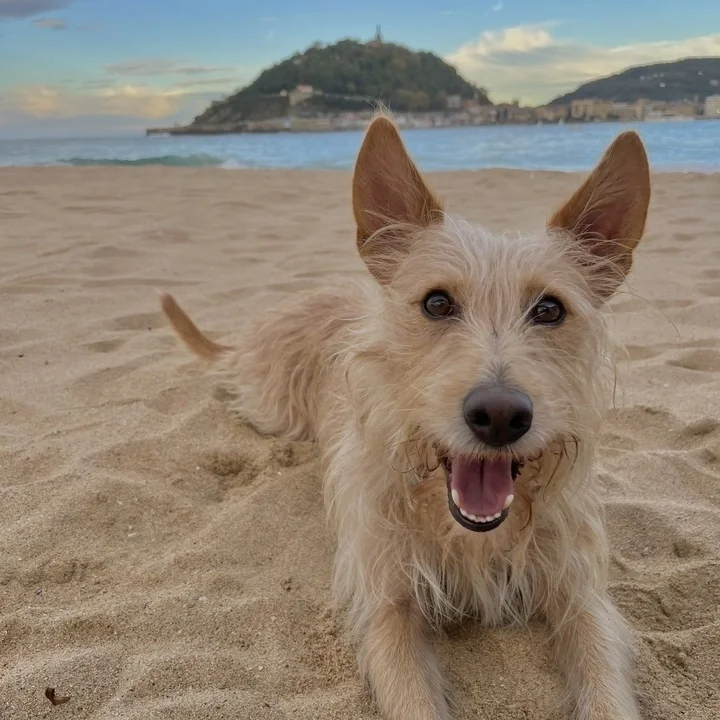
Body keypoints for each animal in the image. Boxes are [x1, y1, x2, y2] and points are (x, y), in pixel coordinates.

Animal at [160, 115, 651, 720]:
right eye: (436, 303)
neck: (468, 537)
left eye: (550, 309)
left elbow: (605, 685)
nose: (499, 415)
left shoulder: (580, 595)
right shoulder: (386, 604)